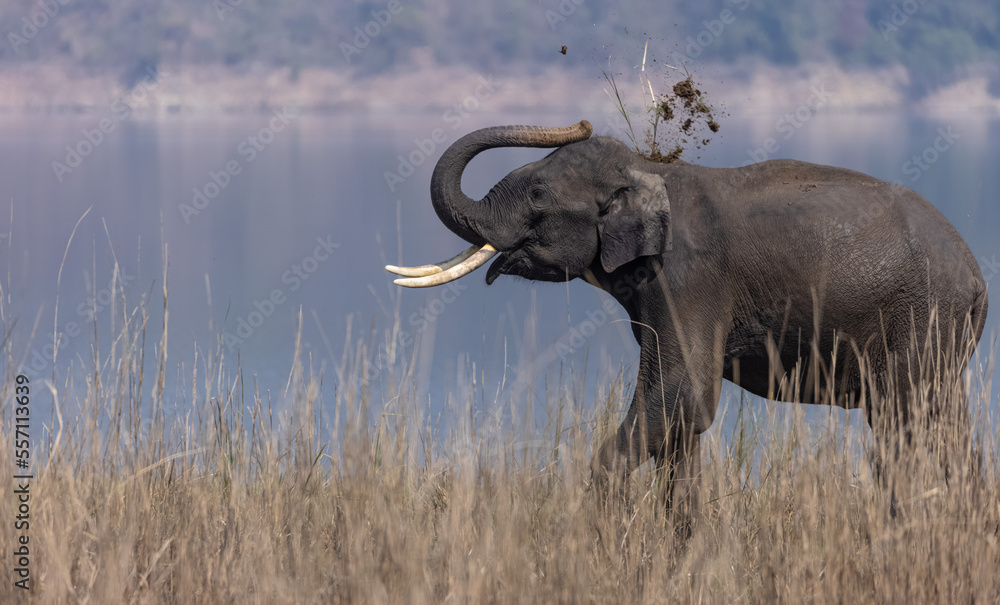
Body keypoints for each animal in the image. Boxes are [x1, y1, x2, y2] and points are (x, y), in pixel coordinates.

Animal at [387, 120, 989, 514]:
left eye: (537, 193)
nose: (580, 121)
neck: (649, 169)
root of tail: (976, 276)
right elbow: (680, 423)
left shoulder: (687, 280)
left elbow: (682, 398)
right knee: (937, 428)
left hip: (923, 321)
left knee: (909, 423)